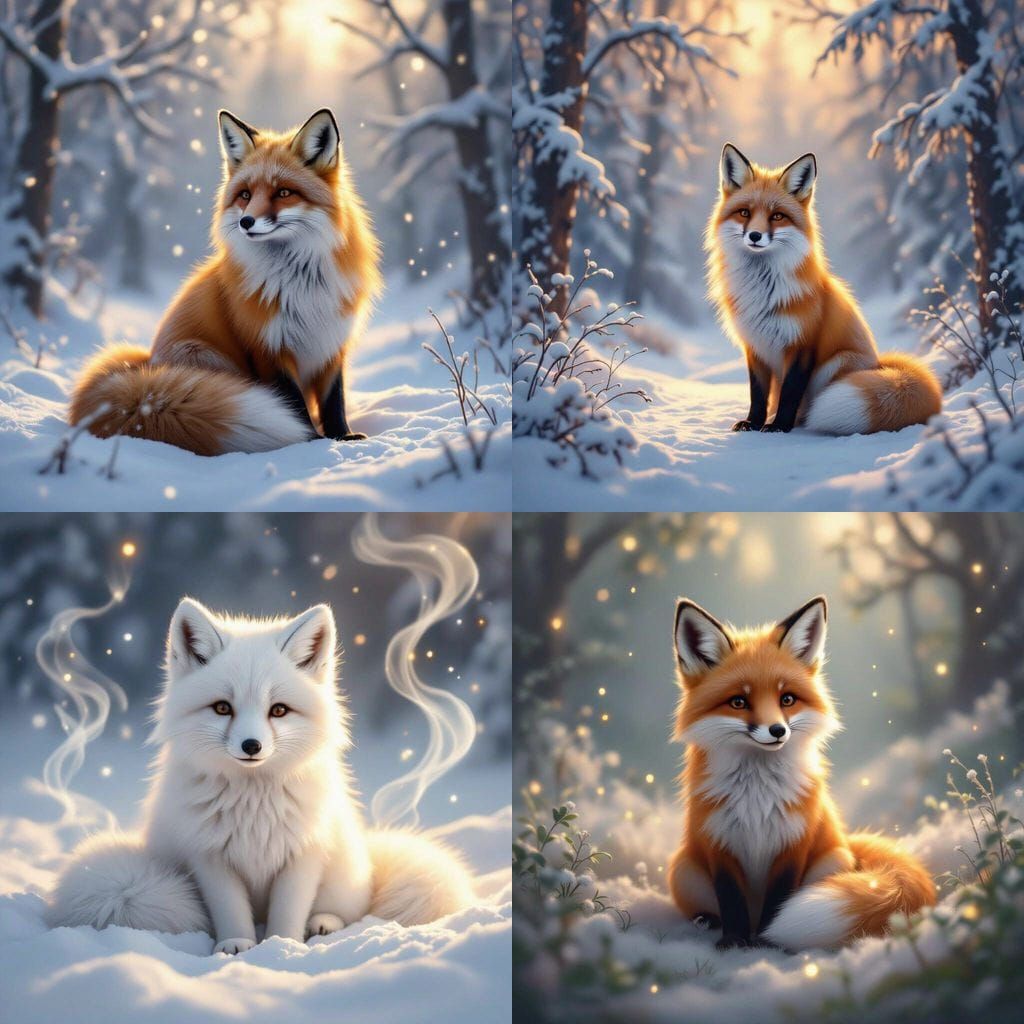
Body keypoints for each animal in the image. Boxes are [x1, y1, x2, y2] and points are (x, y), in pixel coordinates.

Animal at [47, 598, 474, 954]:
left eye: (279, 710)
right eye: (222, 707)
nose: (251, 745)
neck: (254, 804)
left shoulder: (303, 854)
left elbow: (288, 915)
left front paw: (282, 948)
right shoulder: (210, 857)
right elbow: (231, 912)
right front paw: (237, 946)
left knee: (344, 909)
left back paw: (324, 923)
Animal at [68, 108, 382, 455]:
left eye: (283, 193)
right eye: (245, 195)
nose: (246, 221)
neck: (301, 285)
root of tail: (147, 366)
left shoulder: (331, 344)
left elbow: (333, 402)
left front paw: (342, 437)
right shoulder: (267, 349)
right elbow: (296, 404)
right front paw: (309, 441)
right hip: (206, 356)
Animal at [668, 595, 935, 951]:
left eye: (787, 699)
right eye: (738, 702)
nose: (777, 731)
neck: (757, 796)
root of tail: (848, 842)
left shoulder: (794, 842)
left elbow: (780, 899)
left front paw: (768, 940)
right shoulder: (718, 842)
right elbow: (731, 900)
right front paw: (734, 941)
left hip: (833, 860)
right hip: (683, 869)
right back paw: (707, 922)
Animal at [706, 144, 942, 435]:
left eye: (777, 216)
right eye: (745, 213)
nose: (755, 236)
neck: (763, 291)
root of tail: (879, 364)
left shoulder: (803, 344)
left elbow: (789, 393)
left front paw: (779, 426)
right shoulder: (755, 347)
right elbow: (758, 394)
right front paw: (753, 422)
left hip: (835, 364)